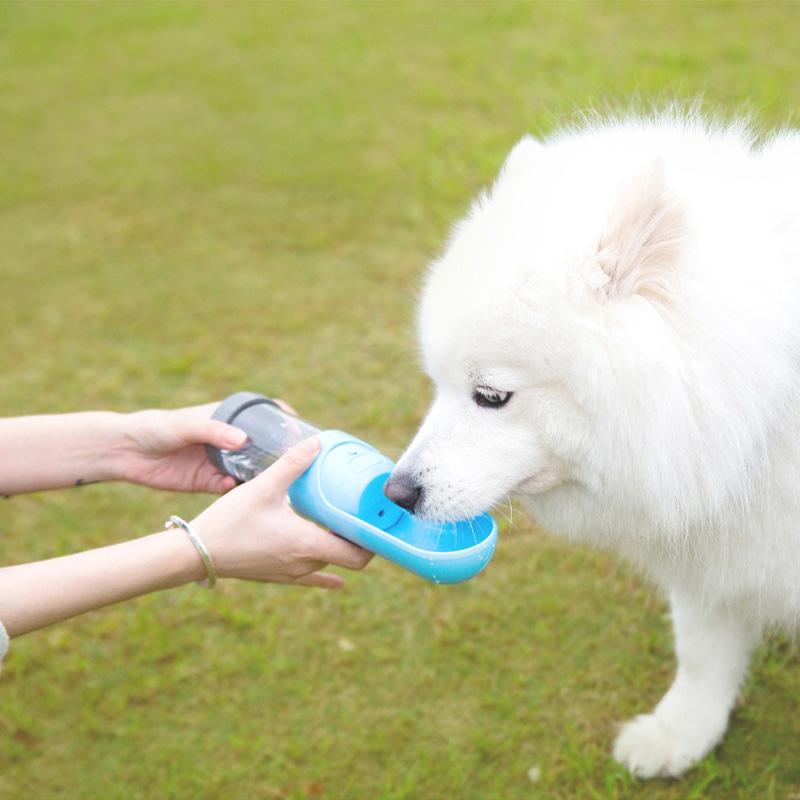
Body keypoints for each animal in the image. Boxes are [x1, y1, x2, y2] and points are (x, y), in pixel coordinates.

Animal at [384, 114, 800, 780]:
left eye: (491, 395)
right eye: (437, 384)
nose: (397, 492)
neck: (763, 401)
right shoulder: (714, 553)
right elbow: (702, 655)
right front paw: (680, 736)